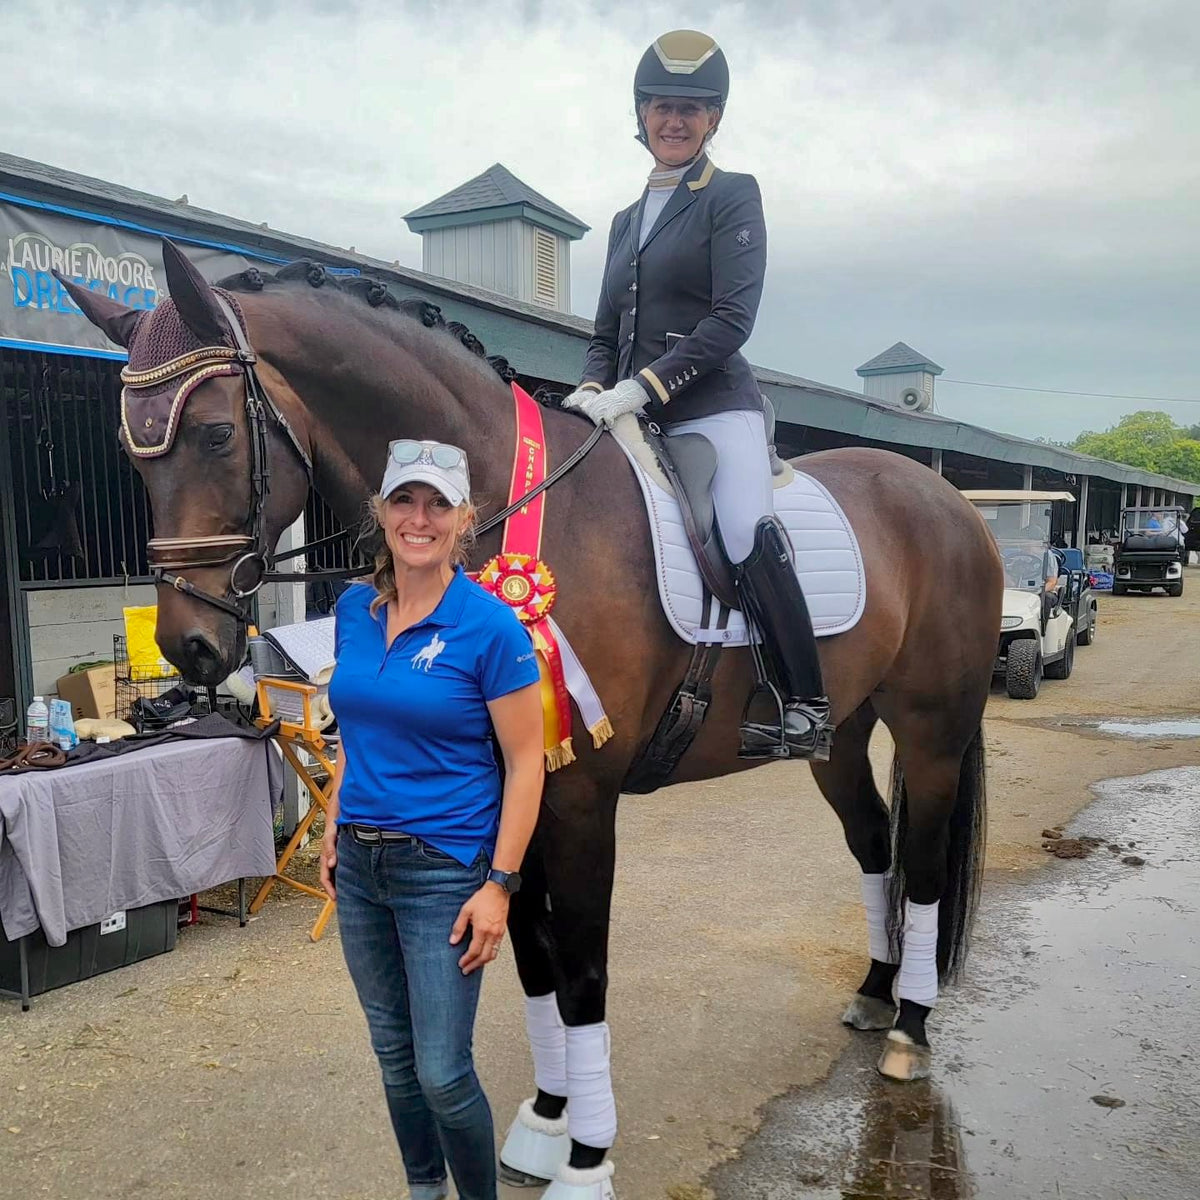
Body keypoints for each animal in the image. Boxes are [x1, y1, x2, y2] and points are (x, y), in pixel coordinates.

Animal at [63, 241, 1003, 1190]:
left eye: (216, 434)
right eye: (131, 453)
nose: (189, 648)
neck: (501, 512)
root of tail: (952, 502)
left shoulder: (581, 799)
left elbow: (581, 970)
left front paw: (586, 1161)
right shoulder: (513, 792)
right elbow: (529, 955)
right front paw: (548, 1121)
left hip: (932, 729)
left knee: (923, 866)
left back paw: (909, 1028)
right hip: (840, 737)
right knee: (874, 843)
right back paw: (874, 993)